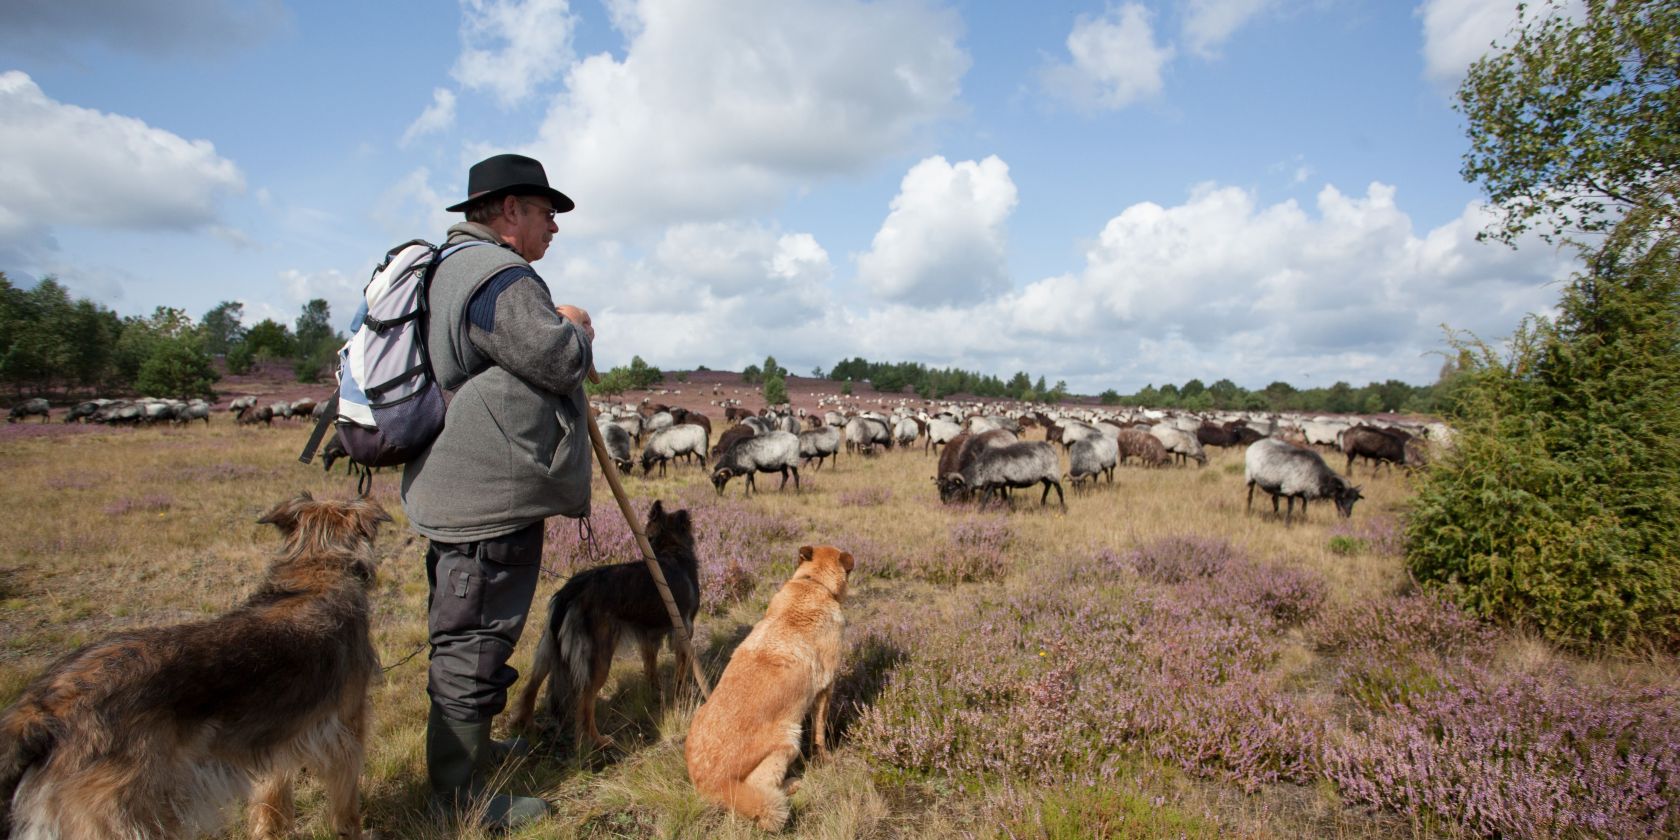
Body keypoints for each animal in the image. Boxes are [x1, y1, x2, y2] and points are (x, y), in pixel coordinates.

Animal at [0, 490, 389, 840]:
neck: (317, 571)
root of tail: (41, 707)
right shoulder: (347, 728)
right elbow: (345, 798)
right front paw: (352, 831)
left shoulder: (276, 737)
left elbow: (271, 793)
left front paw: (271, 830)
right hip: (124, 819)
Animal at [688, 540, 860, 829]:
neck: (813, 584)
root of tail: (712, 784)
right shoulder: (826, 687)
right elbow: (820, 733)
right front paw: (824, 758)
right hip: (788, 739)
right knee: (764, 789)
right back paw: (791, 785)